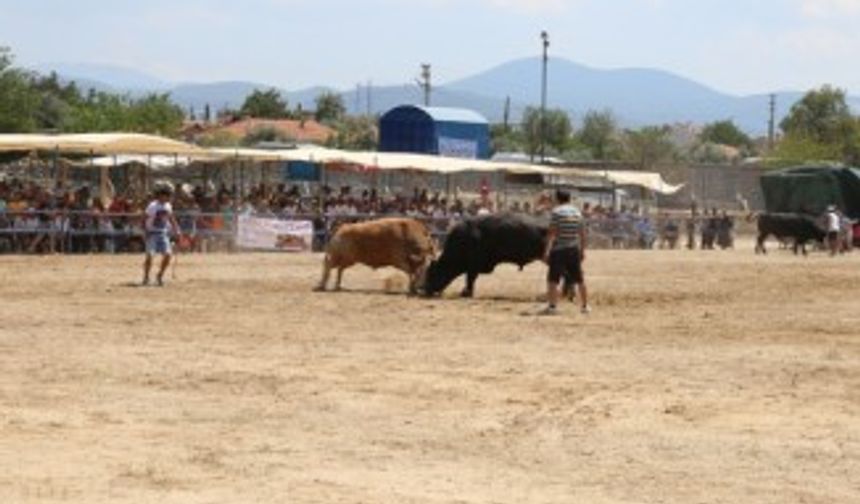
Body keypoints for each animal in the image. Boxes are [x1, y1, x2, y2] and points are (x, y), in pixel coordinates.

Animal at [424, 212, 556, 298]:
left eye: (432, 272)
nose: (424, 289)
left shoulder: (473, 266)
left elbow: (470, 279)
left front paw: (466, 293)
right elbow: (470, 279)